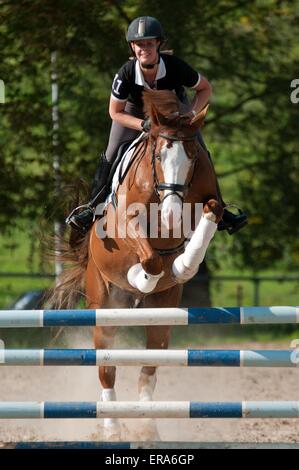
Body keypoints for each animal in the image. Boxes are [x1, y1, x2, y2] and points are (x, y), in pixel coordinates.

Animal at [50, 90, 224, 442]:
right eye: (158, 156)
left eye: (192, 157)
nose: (171, 214)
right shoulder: (125, 220)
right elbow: (150, 257)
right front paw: (141, 275)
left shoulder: (204, 205)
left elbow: (206, 218)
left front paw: (183, 265)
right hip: (103, 312)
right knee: (107, 369)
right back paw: (112, 428)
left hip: (162, 317)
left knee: (148, 369)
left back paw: (146, 426)